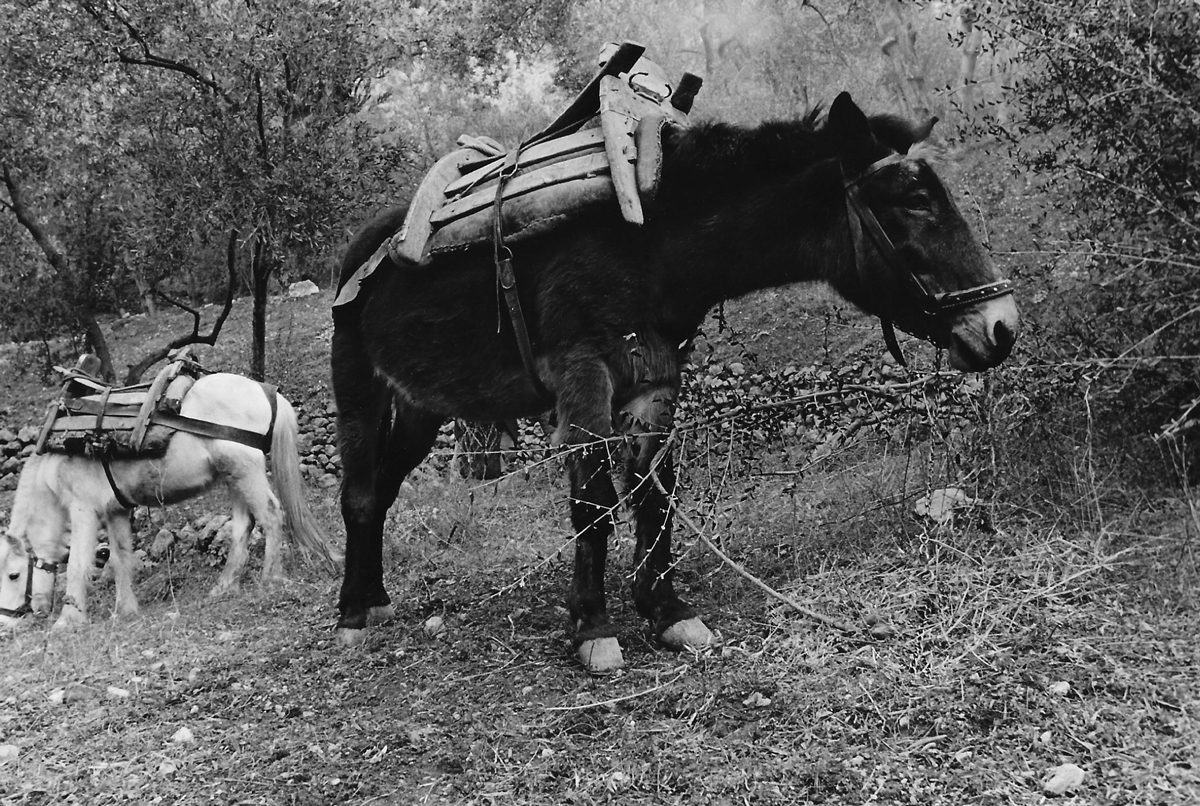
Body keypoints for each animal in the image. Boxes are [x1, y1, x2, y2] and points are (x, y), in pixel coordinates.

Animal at [1, 371, 338, 628]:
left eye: (13, 574)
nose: (8, 621)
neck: (57, 455)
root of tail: (263, 390)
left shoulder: (83, 509)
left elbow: (76, 565)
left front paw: (68, 621)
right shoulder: (115, 511)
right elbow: (121, 558)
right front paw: (125, 610)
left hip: (246, 471)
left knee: (270, 514)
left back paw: (271, 577)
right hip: (234, 476)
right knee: (244, 525)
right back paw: (225, 585)